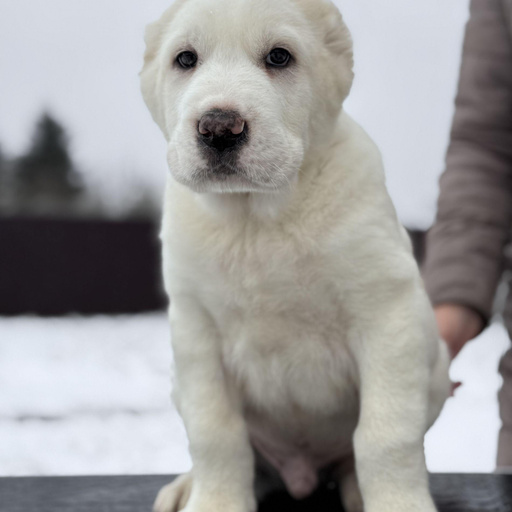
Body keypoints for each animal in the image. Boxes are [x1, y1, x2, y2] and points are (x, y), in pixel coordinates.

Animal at [140, 1, 451, 511]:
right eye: (185, 59)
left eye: (279, 57)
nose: (219, 128)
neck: (257, 221)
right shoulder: (196, 333)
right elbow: (215, 434)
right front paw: (216, 501)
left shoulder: (387, 315)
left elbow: (386, 434)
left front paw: (398, 502)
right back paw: (186, 486)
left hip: (436, 367)